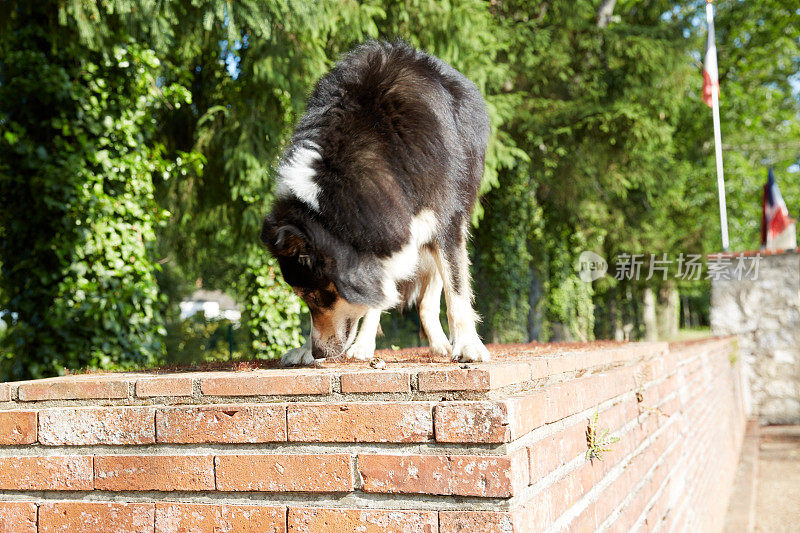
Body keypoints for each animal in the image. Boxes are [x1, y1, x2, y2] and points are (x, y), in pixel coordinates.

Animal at [260, 40, 490, 366]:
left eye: (315, 296)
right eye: (303, 297)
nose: (318, 353)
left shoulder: (444, 221)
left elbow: (456, 290)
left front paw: (469, 345)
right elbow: (373, 295)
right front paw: (310, 348)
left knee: (430, 297)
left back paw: (441, 345)